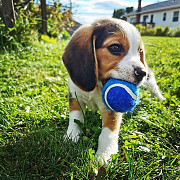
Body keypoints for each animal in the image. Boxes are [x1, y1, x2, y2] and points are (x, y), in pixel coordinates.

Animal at [62, 17, 165, 162]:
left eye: (140, 51)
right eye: (115, 47)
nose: (142, 73)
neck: (97, 85)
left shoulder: (112, 108)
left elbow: (108, 131)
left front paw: (105, 155)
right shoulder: (75, 95)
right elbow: (75, 117)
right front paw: (72, 135)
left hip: (150, 80)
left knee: (155, 88)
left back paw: (161, 99)